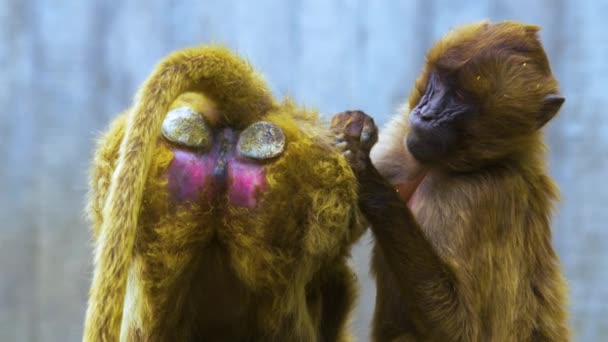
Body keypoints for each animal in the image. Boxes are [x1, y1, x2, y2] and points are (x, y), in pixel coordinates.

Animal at [330, 20, 572, 340]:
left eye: (458, 98)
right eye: (439, 83)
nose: (426, 114)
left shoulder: (478, 194)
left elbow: (461, 329)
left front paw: (366, 173)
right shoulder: (404, 136)